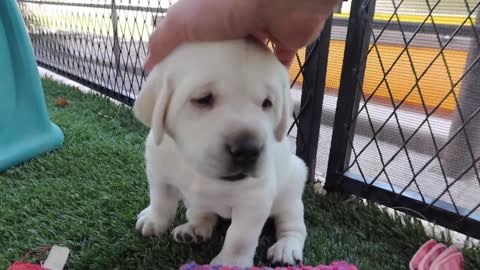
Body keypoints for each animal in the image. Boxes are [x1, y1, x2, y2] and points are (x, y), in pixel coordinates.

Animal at [135, 38, 308, 268]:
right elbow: (160, 200)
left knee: (293, 225)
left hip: (292, 189)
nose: (248, 150)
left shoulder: (254, 199)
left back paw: (286, 248)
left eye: (267, 103)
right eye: (203, 99)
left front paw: (230, 262)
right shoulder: (158, 170)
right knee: (203, 214)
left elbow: (239, 238)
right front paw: (154, 220)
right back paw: (193, 229)